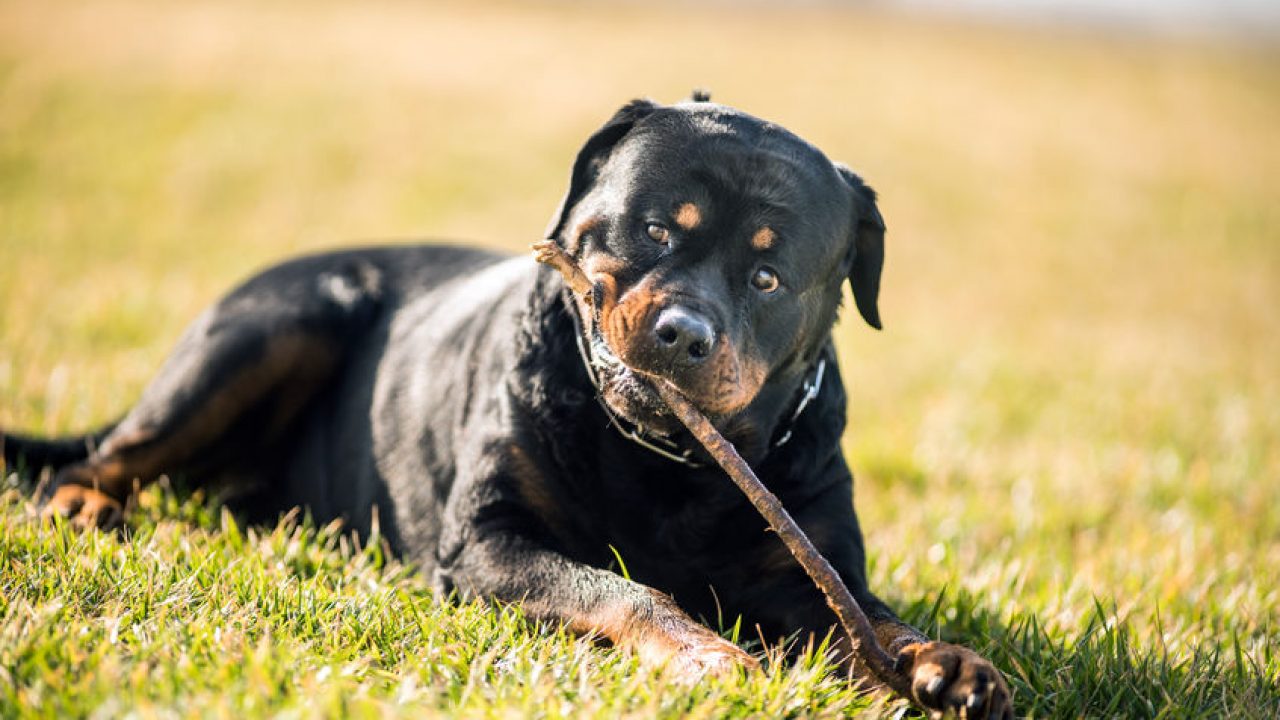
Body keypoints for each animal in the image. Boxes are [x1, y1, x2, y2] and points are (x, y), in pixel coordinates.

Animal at [7, 96, 1008, 717]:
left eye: (768, 277)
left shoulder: (807, 568)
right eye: (655, 229)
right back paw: (83, 501)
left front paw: (949, 666)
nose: (684, 332)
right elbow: (618, 585)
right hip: (277, 323)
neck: (663, 464)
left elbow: (872, 620)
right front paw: (708, 654)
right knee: (107, 452)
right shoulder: (489, 543)